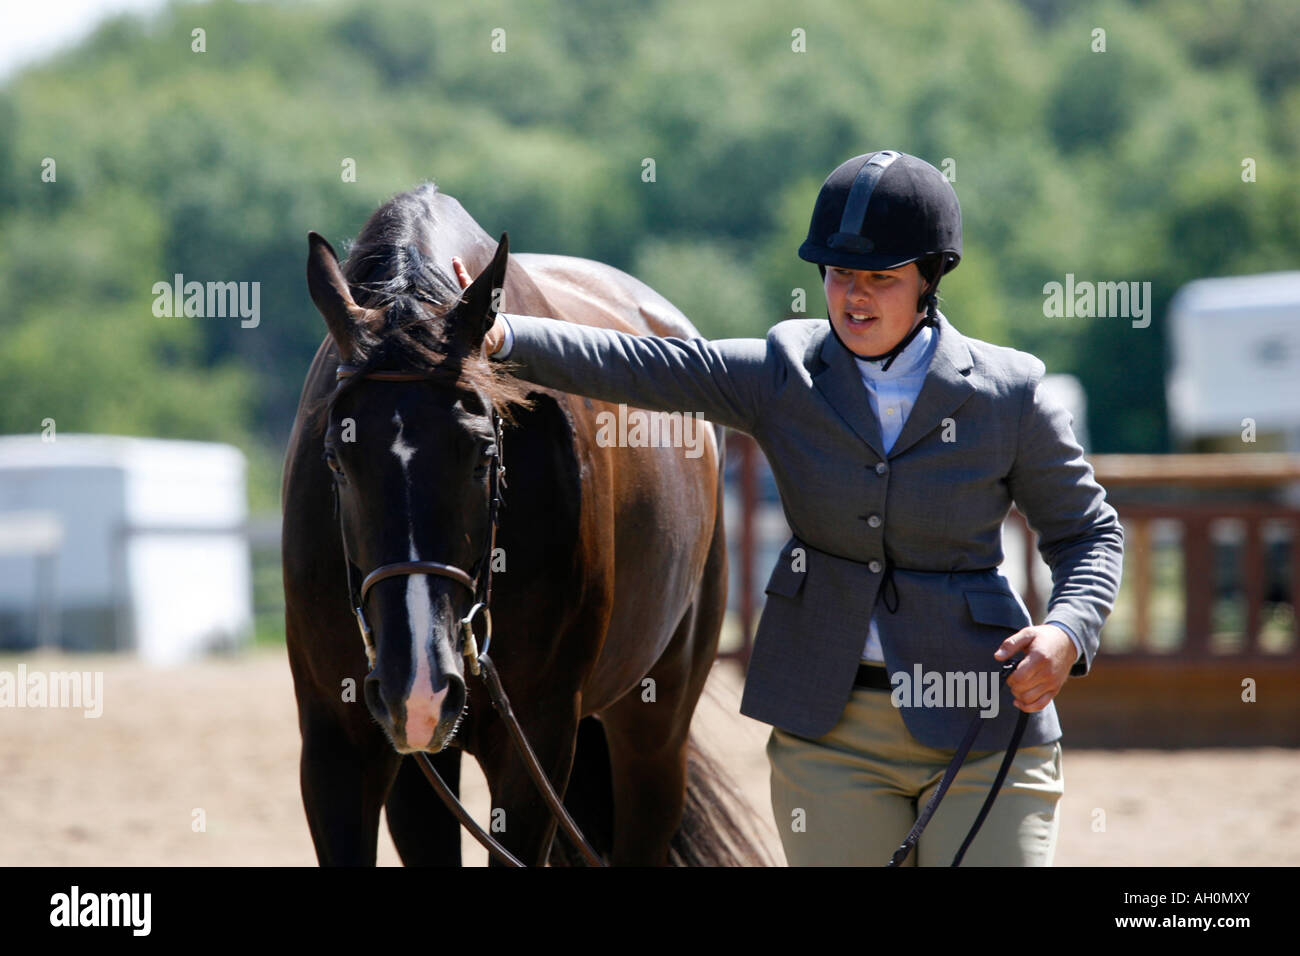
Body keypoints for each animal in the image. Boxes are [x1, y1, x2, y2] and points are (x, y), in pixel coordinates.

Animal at [283, 180, 764, 868]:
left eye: (484, 453)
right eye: (335, 459)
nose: (419, 682)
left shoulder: (537, 734)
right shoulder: (337, 742)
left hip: (655, 727)